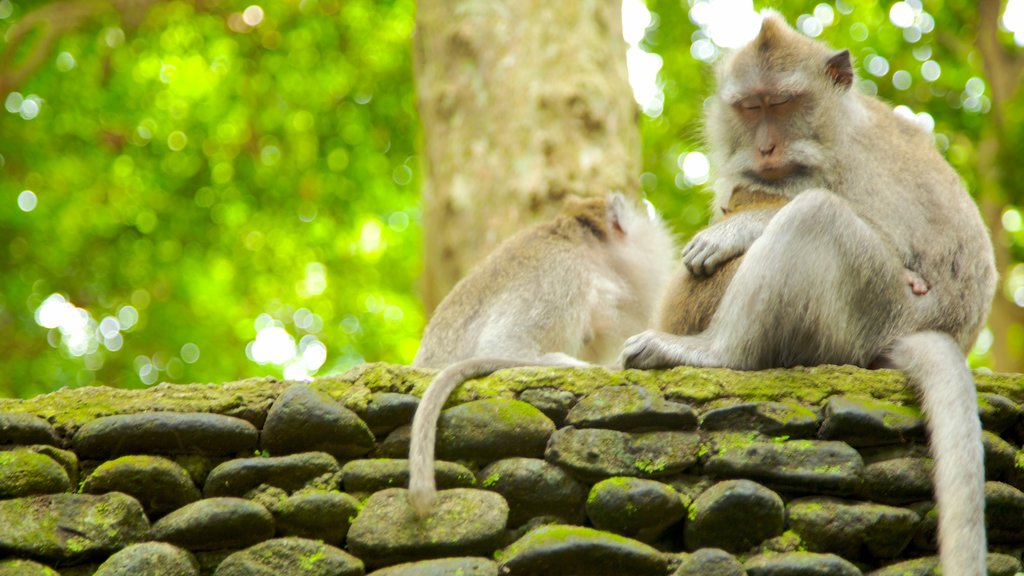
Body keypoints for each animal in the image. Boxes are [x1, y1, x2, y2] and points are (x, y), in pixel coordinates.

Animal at [618, 13, 995, 573]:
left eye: (783, 104)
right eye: (751, 107)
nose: (766, 148)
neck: (833, 131)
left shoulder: (857, 166)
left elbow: (897, 248)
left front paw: (739, 229)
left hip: (877, 308)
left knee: (817, 216)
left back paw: (713, 352)